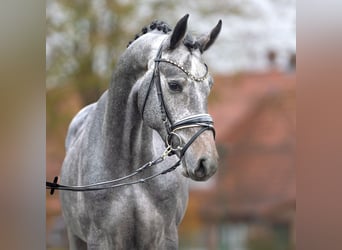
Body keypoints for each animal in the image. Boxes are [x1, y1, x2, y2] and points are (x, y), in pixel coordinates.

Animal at [57, 14, 222, 250]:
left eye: (209, 86)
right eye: (174, 85)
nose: (206, 161)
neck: (131, 172)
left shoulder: (165, 237)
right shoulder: (100, 239)